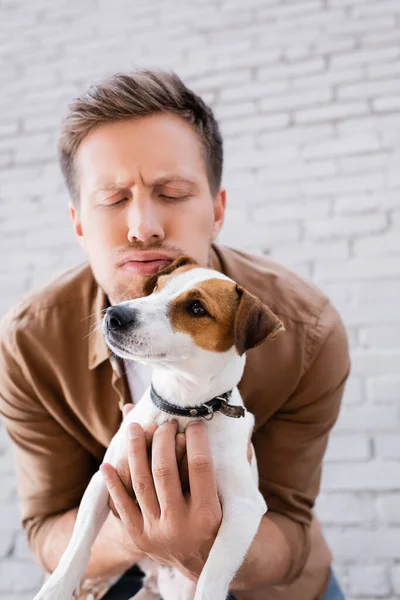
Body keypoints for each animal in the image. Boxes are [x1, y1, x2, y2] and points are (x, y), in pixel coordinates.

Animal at [33, 258, 284, 600]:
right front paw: (55, 589)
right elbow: (77, 546)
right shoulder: (105, 477)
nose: (114, 314)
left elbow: (212, 576)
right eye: (157, 288)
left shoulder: (245, 507)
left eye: (196, 308)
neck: (180, 409)